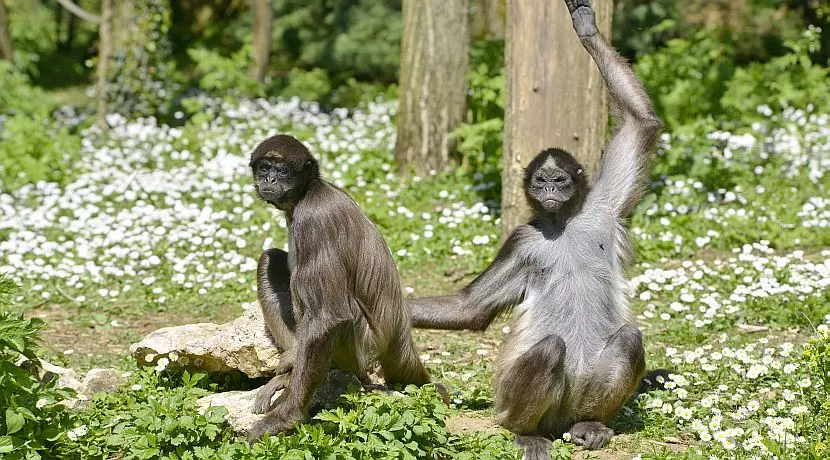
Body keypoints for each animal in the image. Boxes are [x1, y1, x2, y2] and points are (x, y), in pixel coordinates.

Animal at [246, 134, 438, 441]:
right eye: (265, 168)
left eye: (283, 171)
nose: (270, 180)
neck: (311, 190)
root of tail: (400, 334)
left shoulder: (314, 217)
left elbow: (328, 317)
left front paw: (285, 418)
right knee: (269, 259)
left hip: (359, 344)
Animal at [406, 0, 662, 456]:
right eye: (541, 182)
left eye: (560, 181)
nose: (550, 192)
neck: (562, 226)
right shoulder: (522, 240)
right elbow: (469, 309)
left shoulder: (601, 208)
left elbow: (641, 123)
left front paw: (586, 28)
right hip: (508, 397)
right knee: (549, 349)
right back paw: (524, 431)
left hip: (580, 395)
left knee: (629, 339)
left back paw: (589, 425)